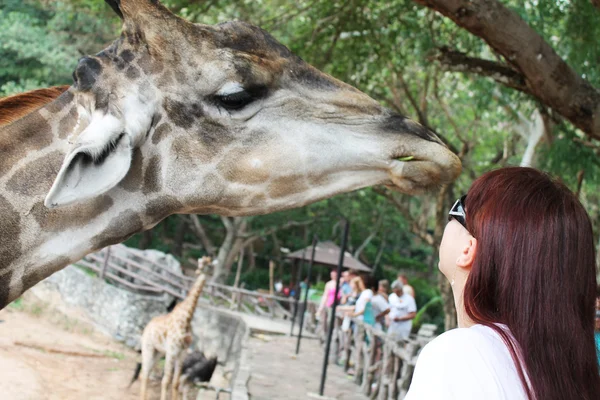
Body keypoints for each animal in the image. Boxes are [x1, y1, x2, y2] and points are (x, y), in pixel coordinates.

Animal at [139, 256, 211, 400]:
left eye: (208, 265)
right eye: (200, 263)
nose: (198, 272)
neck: (186, 319)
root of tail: (147, 326)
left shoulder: (181, 353)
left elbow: (175, 382)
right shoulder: (172, 352)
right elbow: (166, 380)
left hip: (158, 352)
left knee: (146, 373)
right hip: (148, 347)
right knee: (144, 372)